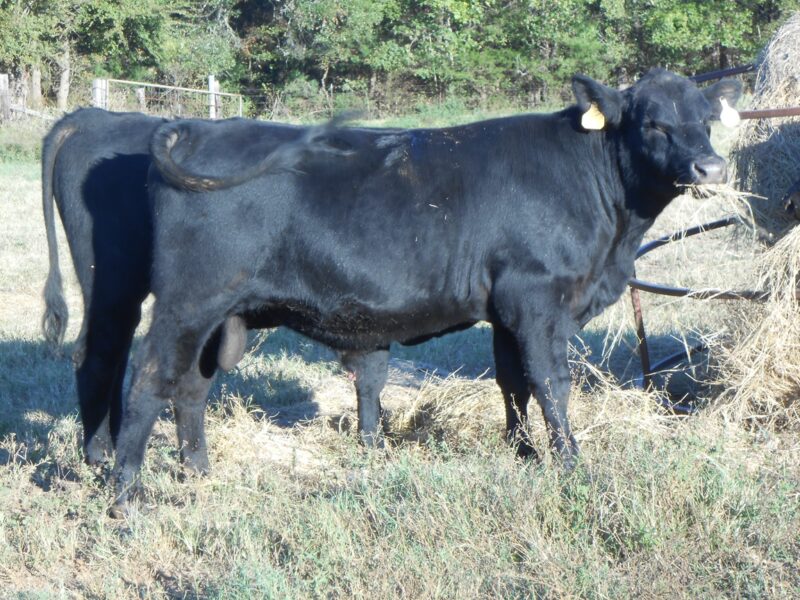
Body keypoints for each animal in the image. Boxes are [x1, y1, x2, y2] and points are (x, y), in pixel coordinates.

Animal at [109, 69, 741, 515]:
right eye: (652, 123)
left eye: (707, 119)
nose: (710, 168)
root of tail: (200, 126)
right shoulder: (537, 299)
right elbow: (551, 383)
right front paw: (569, 464)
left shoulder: (506, 309)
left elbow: (513, 382)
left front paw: (522, 452)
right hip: (186, 301)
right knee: (147, 381)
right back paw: (126, 496)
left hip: (216, 314)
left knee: (191, 387)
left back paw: (197, 473)